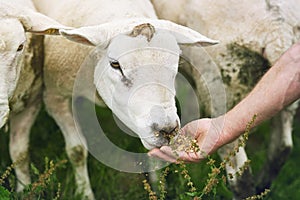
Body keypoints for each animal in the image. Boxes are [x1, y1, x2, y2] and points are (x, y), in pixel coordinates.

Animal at [32, 0, 218, 198]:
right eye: (115, 64)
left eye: (176, 63)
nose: (167, 130)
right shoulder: (54, 97)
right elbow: (77, 151)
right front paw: (85, 193)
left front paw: (157, 187)